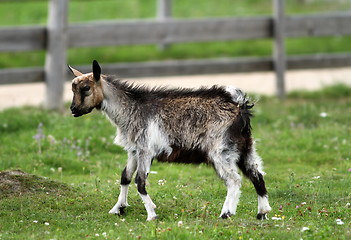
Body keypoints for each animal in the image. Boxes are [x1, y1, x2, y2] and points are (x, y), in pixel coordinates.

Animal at [68, 60, 272, 221]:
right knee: (256, 174)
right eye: (73, 88)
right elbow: (125, 176)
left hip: (220, 151)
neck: (131, 109)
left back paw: (226, 213)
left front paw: (152, 214)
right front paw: (117, 208)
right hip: (246, 147)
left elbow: (140, 181)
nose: (73, 110)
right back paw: (262, 212)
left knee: (234, 180)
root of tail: (239, 107)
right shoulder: (134, 150)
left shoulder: (145, 150)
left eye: (86, 88)